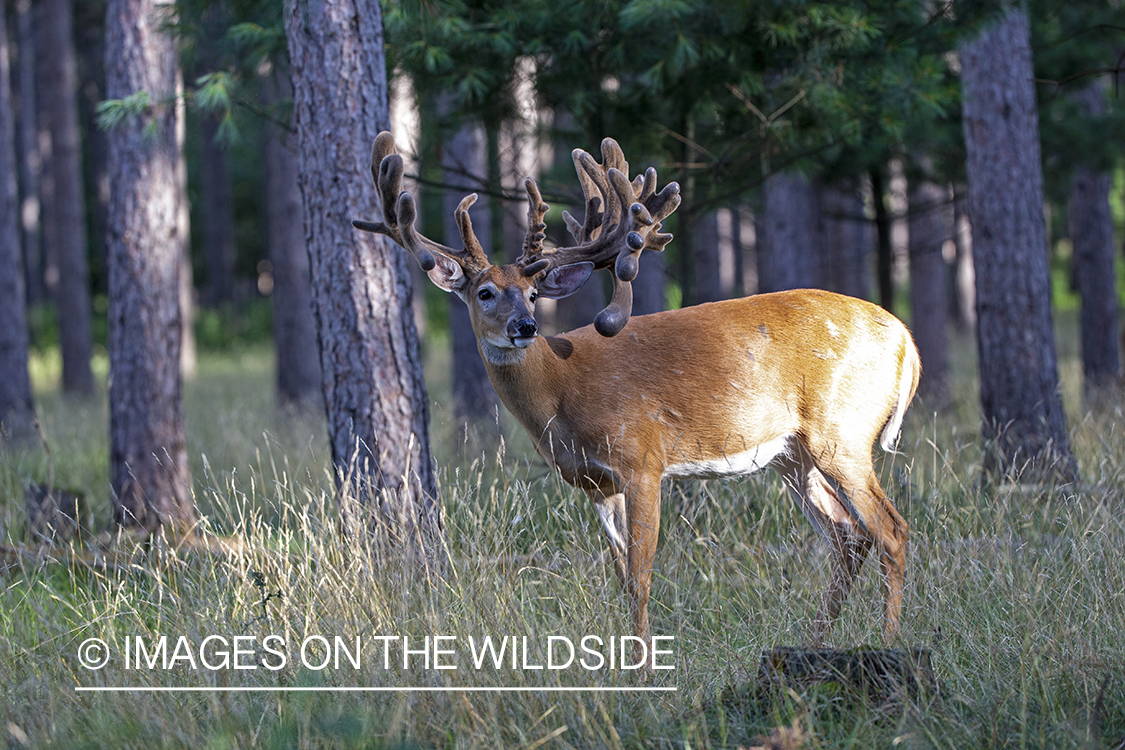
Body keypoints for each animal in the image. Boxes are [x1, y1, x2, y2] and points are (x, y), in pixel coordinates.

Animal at [355, 133, 918, 647]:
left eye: (534, 293)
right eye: (485, 292)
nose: (524, 327)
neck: (561, 391)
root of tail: (905, 338)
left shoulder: (642, 457)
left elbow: (643, 575)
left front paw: (645, 667)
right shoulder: (595, 484)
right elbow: (623, 576)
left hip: (841, 431)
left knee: (890, 530)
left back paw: (888, 642)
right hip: (793, 454)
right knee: (848, 538)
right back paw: (815, 641)